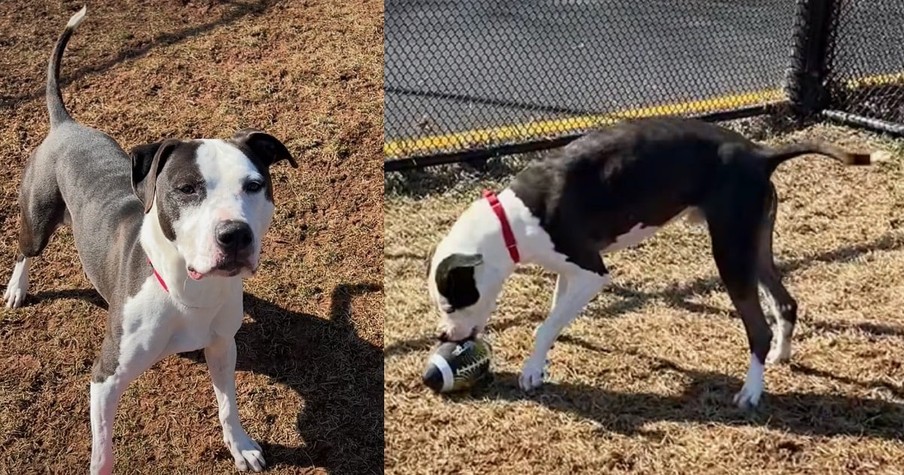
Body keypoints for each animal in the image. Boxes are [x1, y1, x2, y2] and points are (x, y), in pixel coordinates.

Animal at [5, 6, 298, 472]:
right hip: (37, 219)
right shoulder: (104, 377)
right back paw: (17, 287)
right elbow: (102, 451)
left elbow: (227, 406)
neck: (187, 291)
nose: (234, 235)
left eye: (254, 186)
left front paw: (241, 445)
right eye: (187, 188)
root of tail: (66, 125)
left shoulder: (223, 347)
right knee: (25, 250)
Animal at [428, 115, 888, 410]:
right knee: (785, 302)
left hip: (730, 254)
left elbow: (544, 324)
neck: (510, 220)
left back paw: (752, 393)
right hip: (754, 246)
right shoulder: (569, 273)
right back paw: (780, 355)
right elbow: (554, 321)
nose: (443, 336)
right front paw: (538, 368)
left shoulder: (592, 272)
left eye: (452, 302)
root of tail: (760, 154)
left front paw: (529, 372)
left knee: (757, 328)